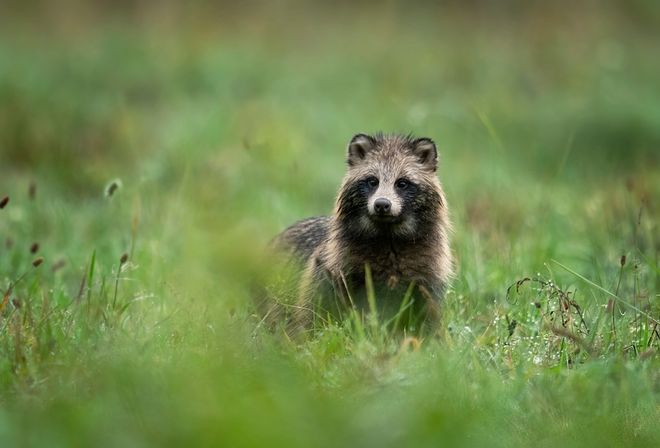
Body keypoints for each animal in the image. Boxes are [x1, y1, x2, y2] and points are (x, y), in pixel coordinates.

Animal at [273, 133, 452, 332]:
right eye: (373, 181)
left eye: (402, 183)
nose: (382, 204)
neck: (387, 235)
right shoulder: (337, 268)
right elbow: (316, 310)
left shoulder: (427, 270)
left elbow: (427, 311)